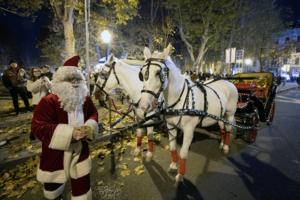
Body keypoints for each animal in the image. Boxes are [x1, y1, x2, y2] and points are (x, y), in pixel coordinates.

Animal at [137, 44, 238, 182]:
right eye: (142, 74)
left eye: (158, 73)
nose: (143, 105)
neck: (179, 100)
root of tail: (228, 82)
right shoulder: (171, 126)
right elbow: (173, 147)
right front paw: (174, 165)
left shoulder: (189, 130)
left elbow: (183, 153)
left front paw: (180, 175)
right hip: (220, 115)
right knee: (222, 128)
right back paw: (222, 143)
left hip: (230, 114)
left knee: (228, 129)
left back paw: (226, 147)